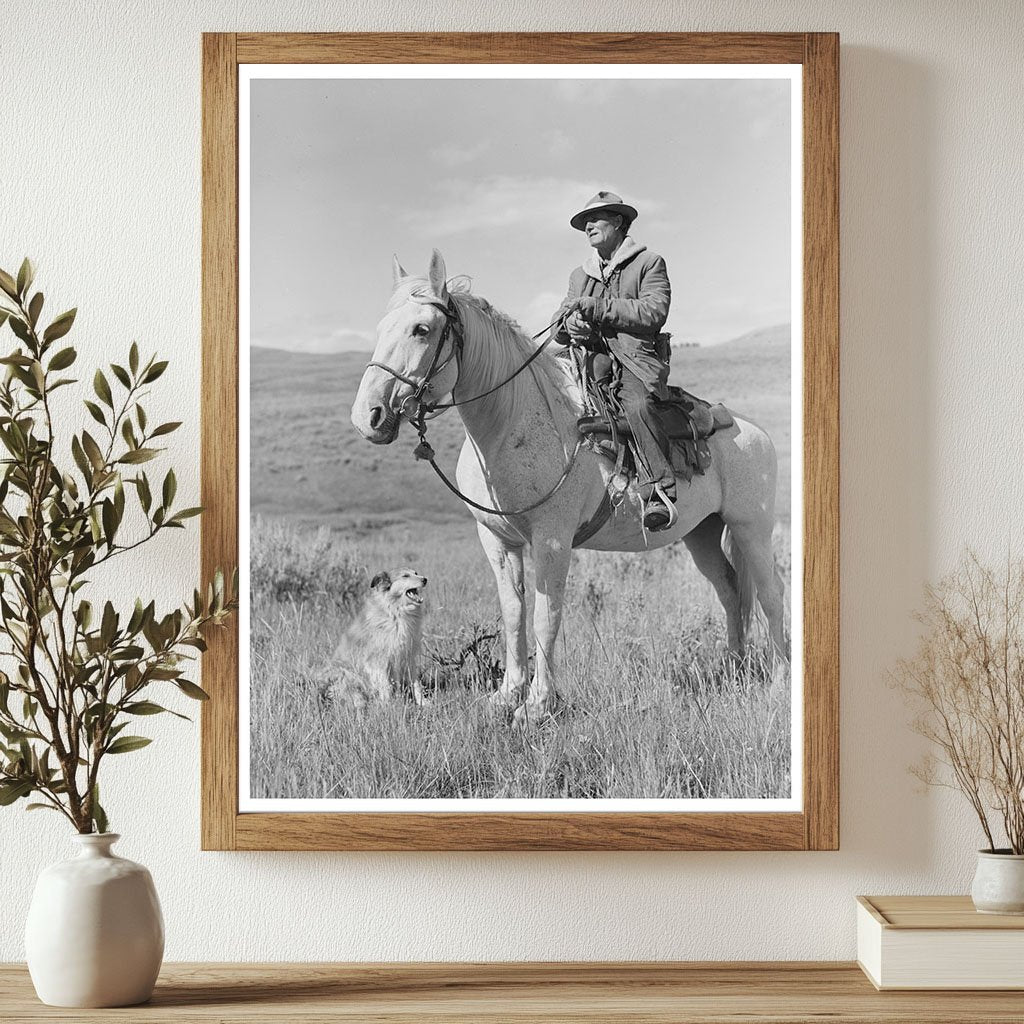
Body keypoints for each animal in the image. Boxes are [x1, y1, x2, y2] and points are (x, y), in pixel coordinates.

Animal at [321, 569, 430, 712]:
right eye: (405, 576)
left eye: (416, 573)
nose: (425, 579)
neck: (396, 612)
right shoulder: (378, 661)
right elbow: (385, 687)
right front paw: (389, 707)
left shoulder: (407, 657)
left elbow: (415, 683)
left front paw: (423, 703)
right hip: (345, 673)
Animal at [352, 250, 782, 724]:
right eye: (381, 327)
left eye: (421, 329)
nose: (367, 415)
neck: (509, 424)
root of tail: (751, 430)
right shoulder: (497, 540)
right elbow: (513, 612)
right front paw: (507, 695)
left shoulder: (552, 539)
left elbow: (546, 616)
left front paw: (538, 705)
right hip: (701, 533)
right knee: (730, 589)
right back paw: (735, 669)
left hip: (751, 528)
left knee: (770, 594)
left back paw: (779, 681)